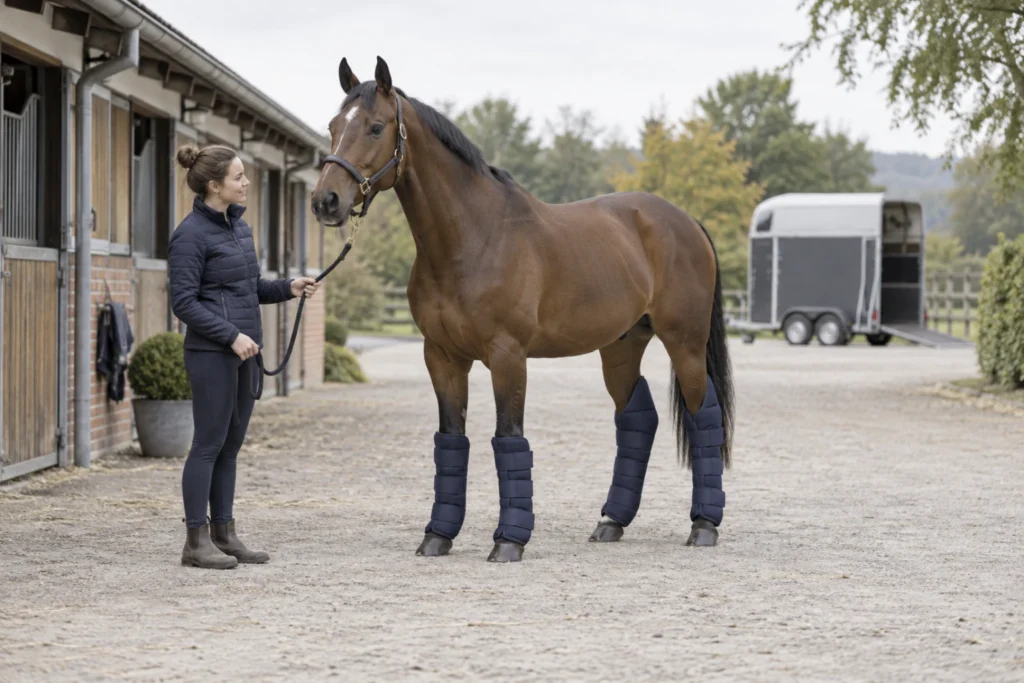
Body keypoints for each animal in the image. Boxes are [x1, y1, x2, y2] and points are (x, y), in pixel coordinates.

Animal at [310, 56, 735, 563]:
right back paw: (611, 522)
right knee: (637, 416)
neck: (472, 239)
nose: (325, 201)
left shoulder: (507, 356)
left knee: (702, 412)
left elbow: (509, 437)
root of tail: (686, 221)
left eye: (375, 127)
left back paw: (704, 526)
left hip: (684, 343)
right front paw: (437, 536)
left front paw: (509, 541)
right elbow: (451, 439)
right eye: (334, 126)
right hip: (621, 346)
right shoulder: (441, 356)